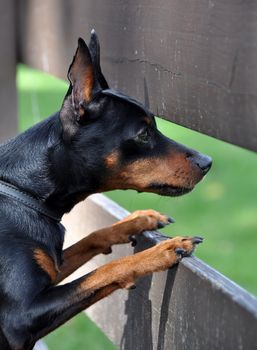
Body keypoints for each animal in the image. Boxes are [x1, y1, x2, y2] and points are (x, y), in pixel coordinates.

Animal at [0, 31, 211, 348]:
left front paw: (140, 219)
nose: (207, 162)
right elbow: (105, 270)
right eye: (144, 133)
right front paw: (164, 250)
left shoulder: (52, 268)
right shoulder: (21, 317)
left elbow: (93, 237)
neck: (24, 192)